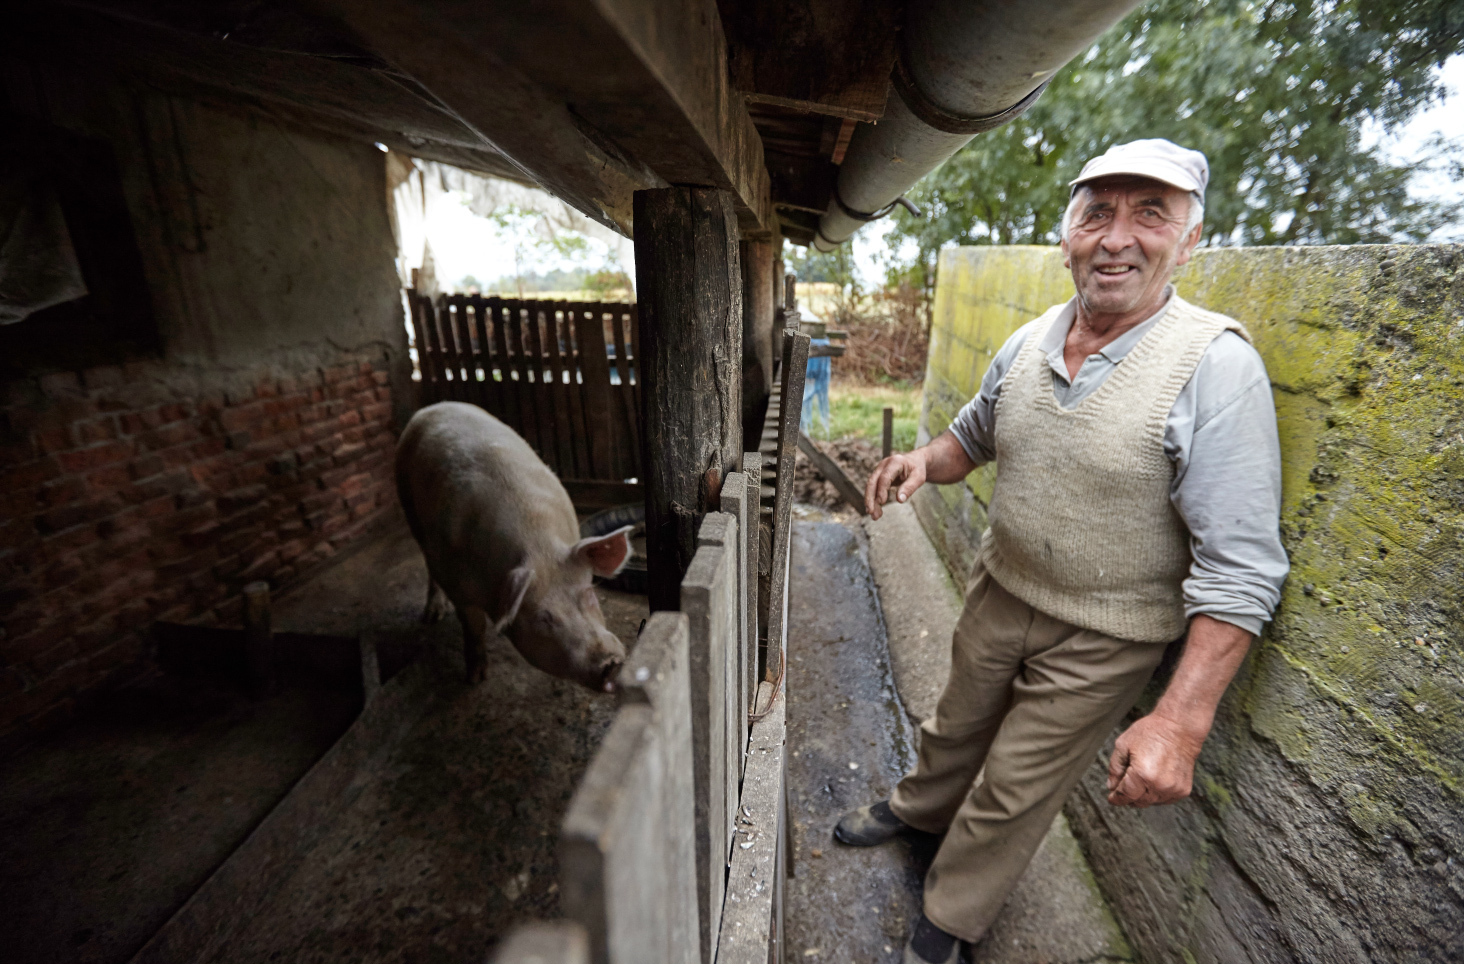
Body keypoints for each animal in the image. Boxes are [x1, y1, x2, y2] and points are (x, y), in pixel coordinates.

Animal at [398, 401, 632, 685]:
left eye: (589, 594)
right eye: (544, 618)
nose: (611, 664)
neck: (538, 547)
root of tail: (435, 406)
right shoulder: (456, 583)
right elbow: (474, 626)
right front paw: (476, 678)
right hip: (408, 505)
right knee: (428, 564)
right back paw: (432, 617)